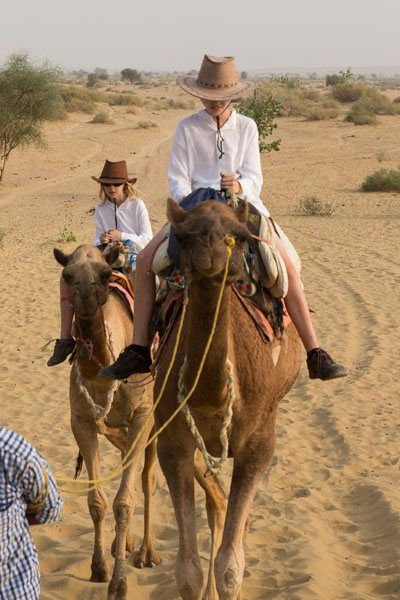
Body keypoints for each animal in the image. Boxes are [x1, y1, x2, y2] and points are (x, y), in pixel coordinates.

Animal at [54, 245, 160, 600]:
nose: (87, 296)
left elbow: (124, 503)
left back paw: (146, 552)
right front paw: (99, 568)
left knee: (148, 477)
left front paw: (119, 583)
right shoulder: (81, 421)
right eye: (67, 275)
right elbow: (97, 502)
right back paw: (122, 545)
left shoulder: (143, 416)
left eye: (103, 274)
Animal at [155, 198, 302, 600]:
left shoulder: (259, 441)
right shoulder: (171, 442)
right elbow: (187, 570)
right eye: (183, 236)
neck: (211, 398)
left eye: (238, 235)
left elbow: (230, 567)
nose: (210, 252)